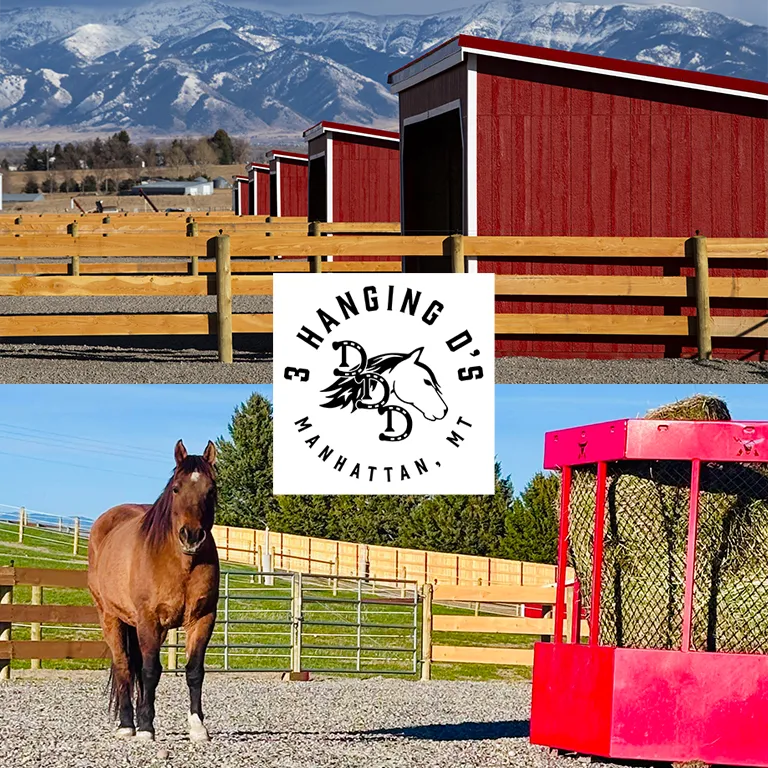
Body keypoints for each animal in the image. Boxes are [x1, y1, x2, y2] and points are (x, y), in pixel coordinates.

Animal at [87, 439, 219, 743]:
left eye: (211, 490)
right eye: (176, 488)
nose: (191, 536)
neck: (182, 563)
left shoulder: (203, 618)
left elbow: (195, 671)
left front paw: (198, 727)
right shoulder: (149, 619)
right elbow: (150, 671)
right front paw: (146, 726)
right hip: (110, 617)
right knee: (124, 667)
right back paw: (127, 724)